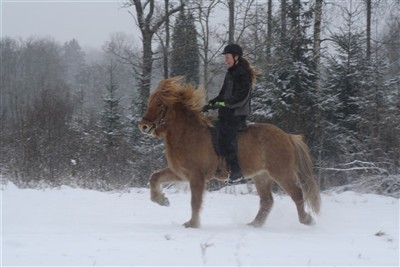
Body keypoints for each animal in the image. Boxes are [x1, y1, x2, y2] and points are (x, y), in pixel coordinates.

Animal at [139, 76, 320, 229]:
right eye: (150, 101)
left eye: (160, 104)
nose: (143, 126)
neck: (188, 133)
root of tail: (288, 136)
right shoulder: (181, 173)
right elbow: (155, 177)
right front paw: (163, 200)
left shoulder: (197, 175)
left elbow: (195, 201)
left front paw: (192, 224)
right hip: (261, 176)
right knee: (267, 201)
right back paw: (253, 225)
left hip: (281, 173)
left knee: (296, 194)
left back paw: (307, 220)